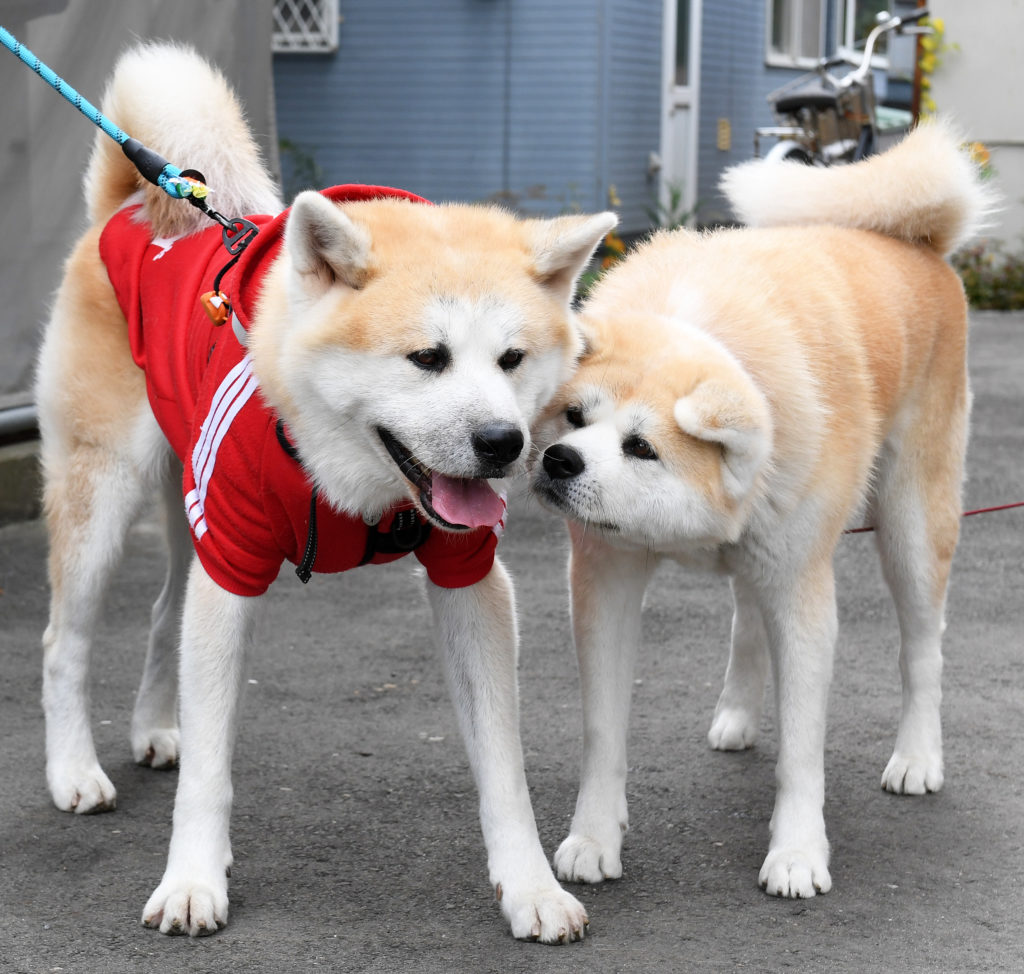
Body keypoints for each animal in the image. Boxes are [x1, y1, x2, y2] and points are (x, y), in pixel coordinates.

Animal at [532, 125, 995, 901]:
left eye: (641, 447)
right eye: (575, 417)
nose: (560, 461)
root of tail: (918, 243)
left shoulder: (803, 590)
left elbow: (802, 752)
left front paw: (798, 853)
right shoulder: (608, 577)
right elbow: (603, 734)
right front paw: (594, 837)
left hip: (909, 526)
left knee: (922, 650)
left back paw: (917, 757)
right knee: (747, 618)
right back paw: (739, 714)